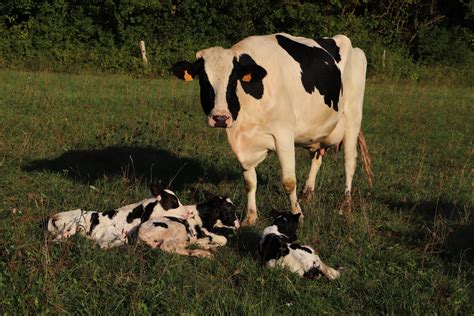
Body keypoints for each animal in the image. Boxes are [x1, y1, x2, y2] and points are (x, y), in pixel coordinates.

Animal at [172, 33, 372, 226]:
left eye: (233, 80)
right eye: (203, 80)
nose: (220, 118)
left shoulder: (284, 133)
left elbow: (289, 181)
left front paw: (298, 214)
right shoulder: (244, 143)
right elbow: (250, 182)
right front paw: (250, 217)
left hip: (353, 116)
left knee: (349, 161)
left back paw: (345, 205)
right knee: (317, 158)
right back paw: (308, 193)